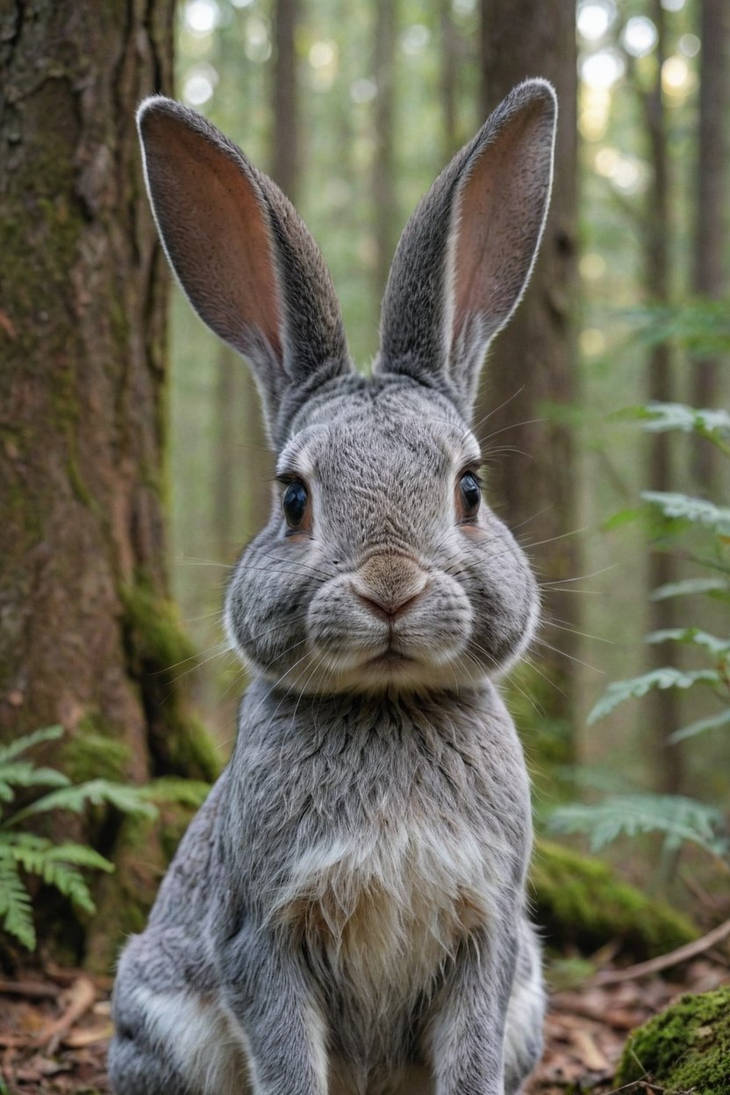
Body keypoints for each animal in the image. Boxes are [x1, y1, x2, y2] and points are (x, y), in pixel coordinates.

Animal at [108, 76, 557, 1095]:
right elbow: (287, 1054)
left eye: (470, 489)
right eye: (293, 497)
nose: (390, 586)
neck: (384, 702)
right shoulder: (262, 934)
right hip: (160, 1021)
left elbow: (469, 1056)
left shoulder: (490, 939)